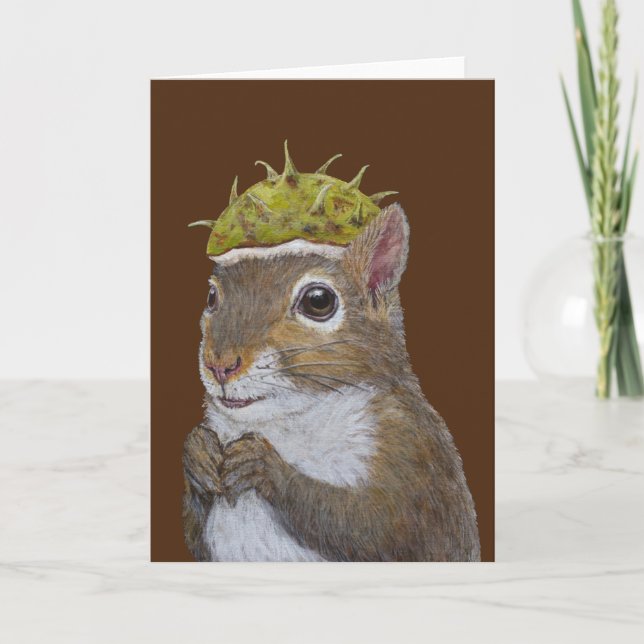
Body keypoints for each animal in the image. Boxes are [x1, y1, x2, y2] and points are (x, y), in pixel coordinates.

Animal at [183, 203, 481, 561]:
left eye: (318, 300)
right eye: (211, 295)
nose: (219, 365)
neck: (287, 420)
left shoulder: (410, 454)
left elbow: (371, 523)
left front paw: (265, 466)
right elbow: (194, 531)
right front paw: (198, 453)